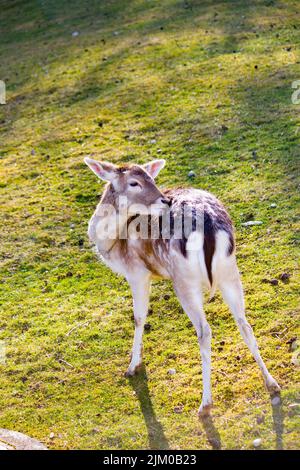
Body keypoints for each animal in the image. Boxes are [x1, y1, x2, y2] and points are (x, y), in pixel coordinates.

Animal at [85, 158, 282, 414]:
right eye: (134, 182)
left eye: (151, 178)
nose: (164, 200)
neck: (112, 244)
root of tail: (209, 227)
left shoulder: (137, 272)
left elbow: (138, 317)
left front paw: (132, 365)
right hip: (229, 270)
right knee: (244, 323)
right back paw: (272, 383)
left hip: (184, 281)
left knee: (204, 331)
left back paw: (205, 404)